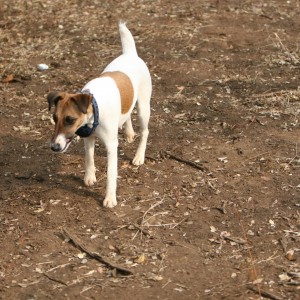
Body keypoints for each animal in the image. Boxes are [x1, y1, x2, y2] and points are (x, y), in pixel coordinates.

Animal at [47, 21, 152, 209]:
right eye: (54, 118)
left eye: (70, 120)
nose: (54, 147)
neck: (94, 110)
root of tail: (130, 54)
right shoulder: (88, 138)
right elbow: (89, 158)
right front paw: (90, 177)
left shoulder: (111, 146)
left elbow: (111, 174)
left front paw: (110, 198)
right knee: (127, 114)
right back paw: (129, 132)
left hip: (143, 107)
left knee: (145, 131)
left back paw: (139, 156)